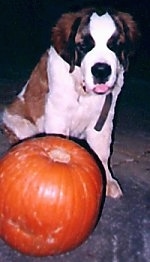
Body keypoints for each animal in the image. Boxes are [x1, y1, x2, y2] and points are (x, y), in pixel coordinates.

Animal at [2, 7, 139, 198]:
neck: (82, 89)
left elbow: (102, 151)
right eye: (84, 46)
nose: (101, 71)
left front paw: (108, 180)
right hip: (20, 122)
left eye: (115, 45)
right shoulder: (57, 116)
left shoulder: (104, 119)